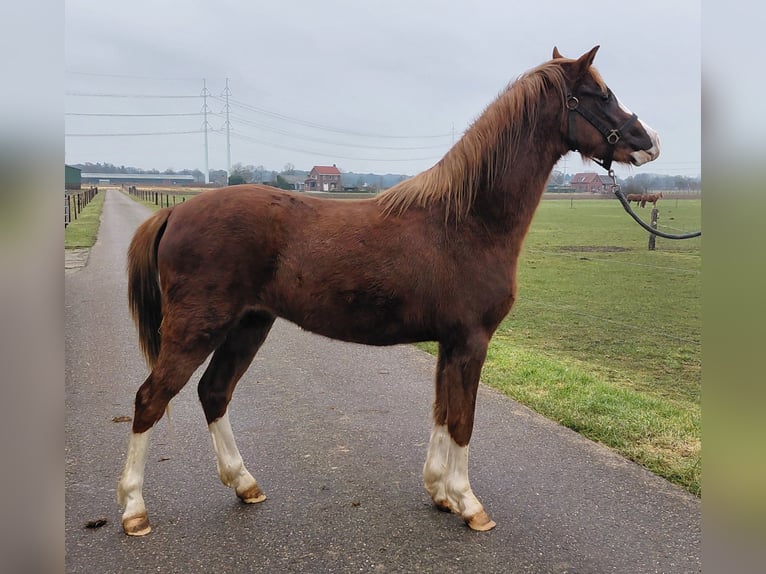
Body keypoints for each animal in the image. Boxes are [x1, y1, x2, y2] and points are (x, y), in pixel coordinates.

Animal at [118, 46, 659, 536]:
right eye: (599, 95)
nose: (649, 140)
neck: (466, 218)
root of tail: (175, 212)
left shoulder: (451, 343)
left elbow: (442, 412)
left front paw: (440, 492)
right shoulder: (471, 341)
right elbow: (462, 419)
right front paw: (468, 504)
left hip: (248, 325)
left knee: (214, 392)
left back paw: (244, 484)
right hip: (197, 329)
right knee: (150, 400)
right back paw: (134, 511)